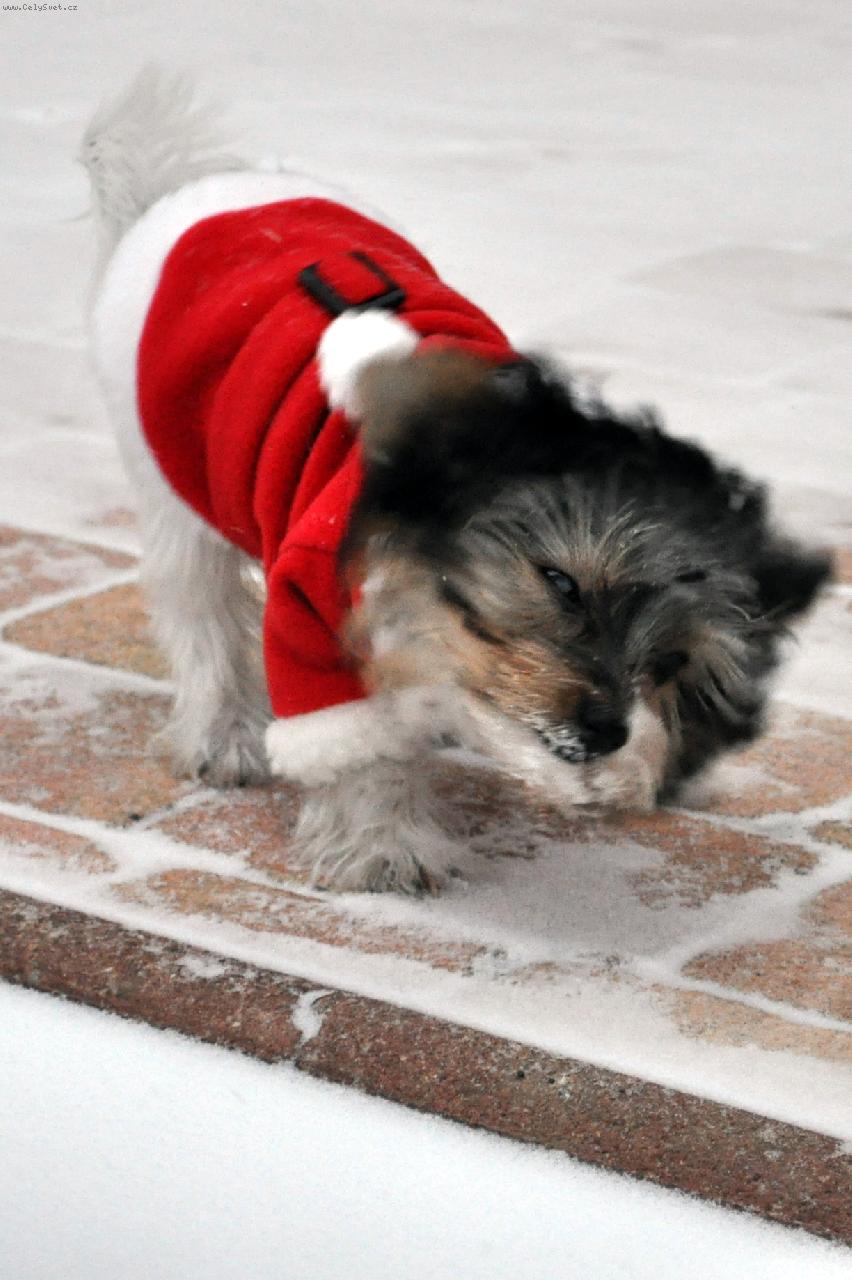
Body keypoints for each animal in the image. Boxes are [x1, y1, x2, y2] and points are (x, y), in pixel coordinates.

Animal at [83, 70, 831, 893]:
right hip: (173, 479)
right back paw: (226, 735)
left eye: (670, 661)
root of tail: (192, 191)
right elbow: (349, 738)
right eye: (559, 582)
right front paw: (382, 845)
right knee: (203, 613)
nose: (606, 730)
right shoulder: (310, 604)